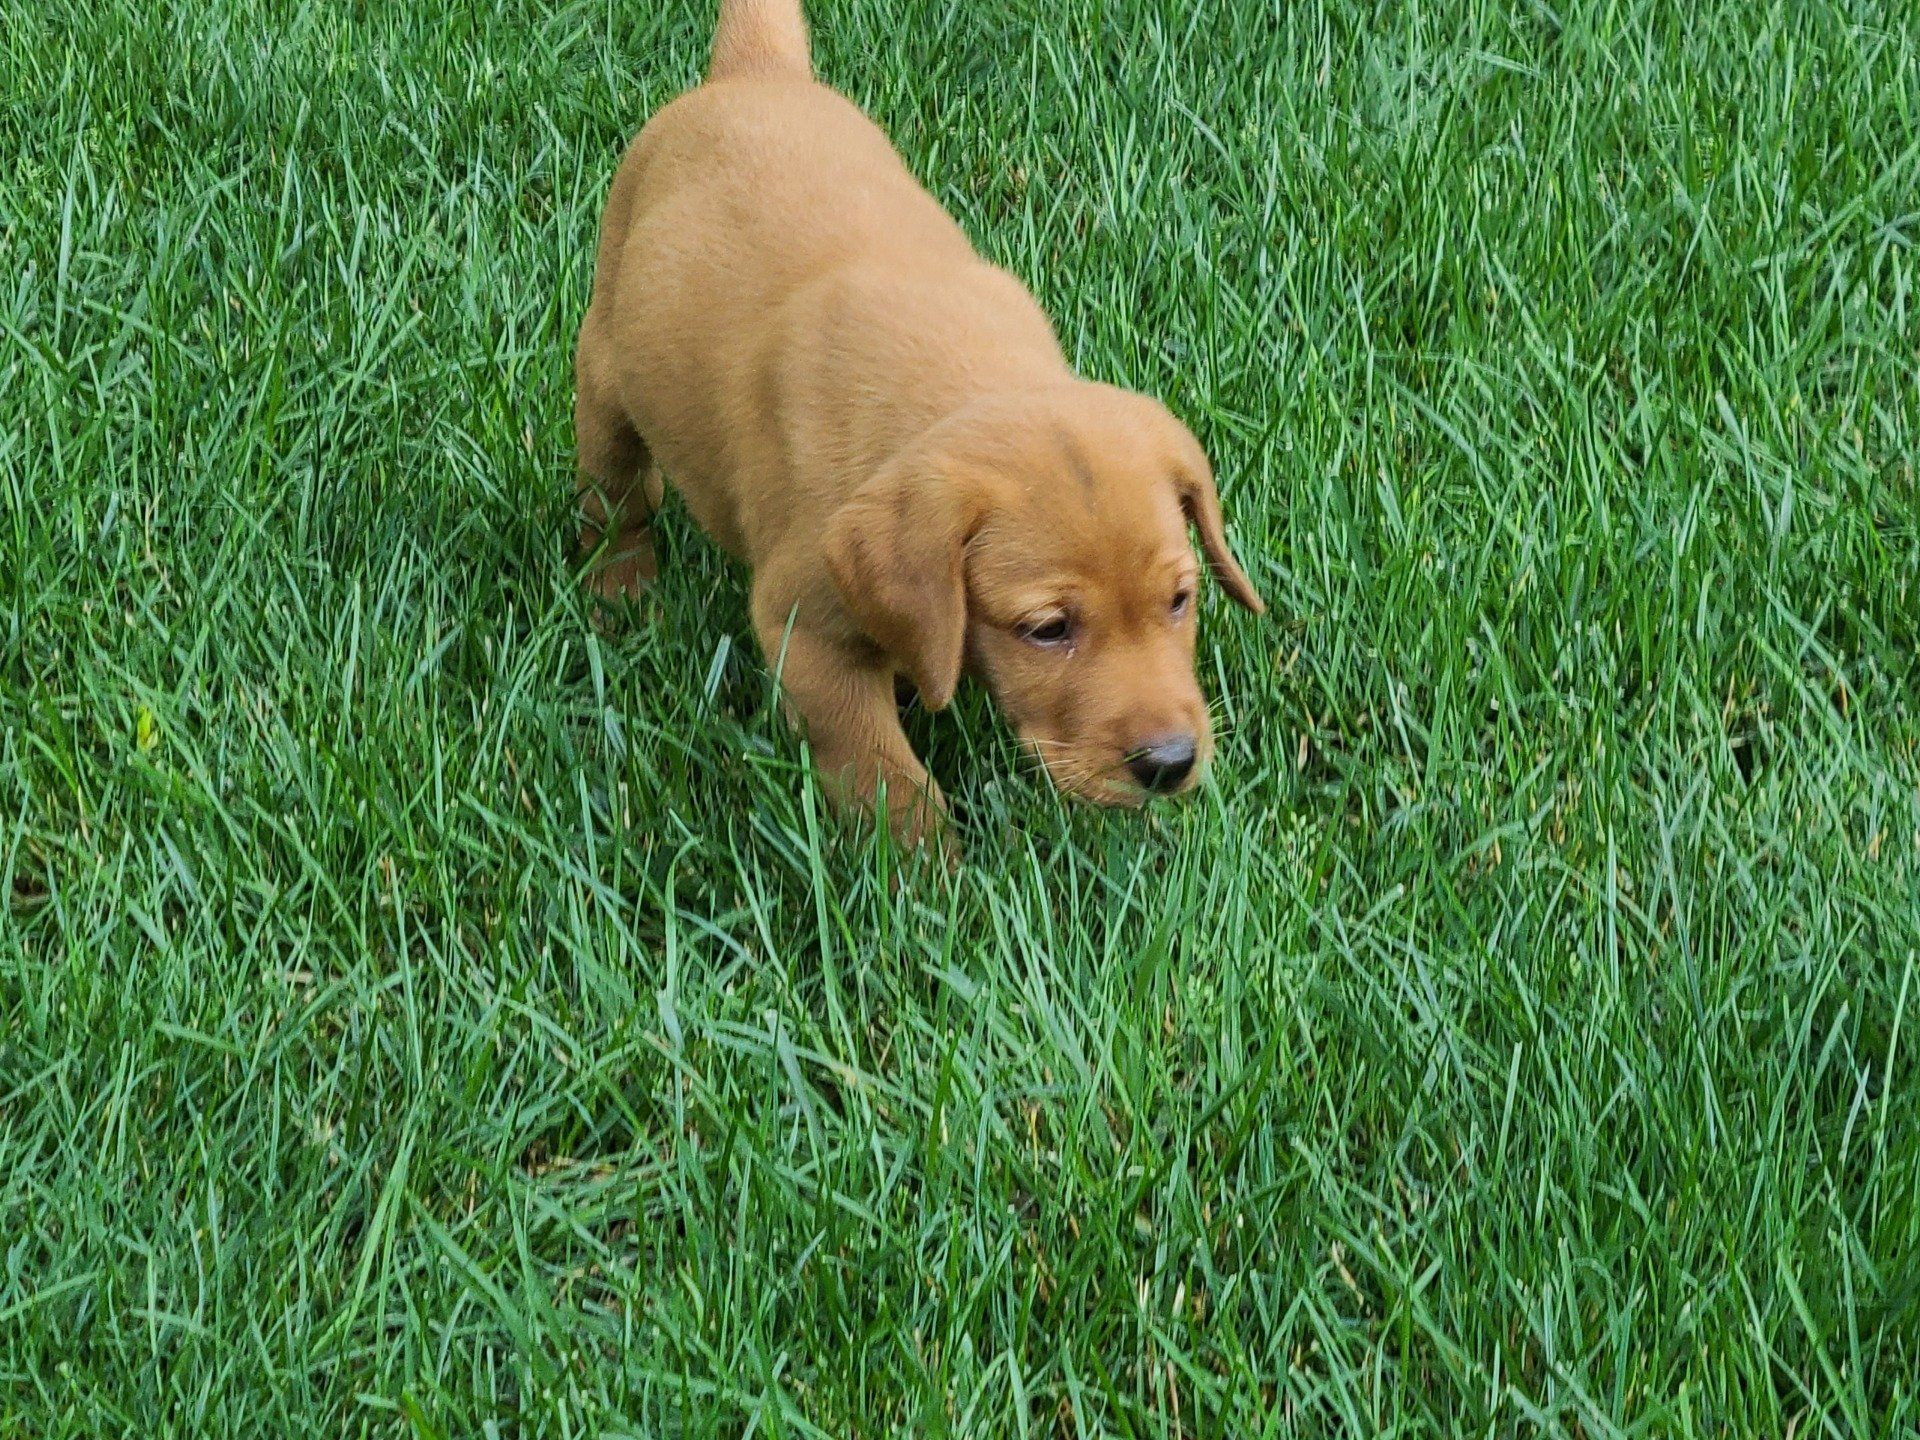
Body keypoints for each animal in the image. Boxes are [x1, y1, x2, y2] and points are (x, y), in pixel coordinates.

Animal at [572, 0, 1259, 844]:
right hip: (606, 367)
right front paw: (923, 866)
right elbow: (876, 768)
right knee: (617, 496)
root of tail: (756, 74)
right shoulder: (807, 629)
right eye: (1047, 629)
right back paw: (621, 589)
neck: (962, 382)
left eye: (1179, 600)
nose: (1167, 763)